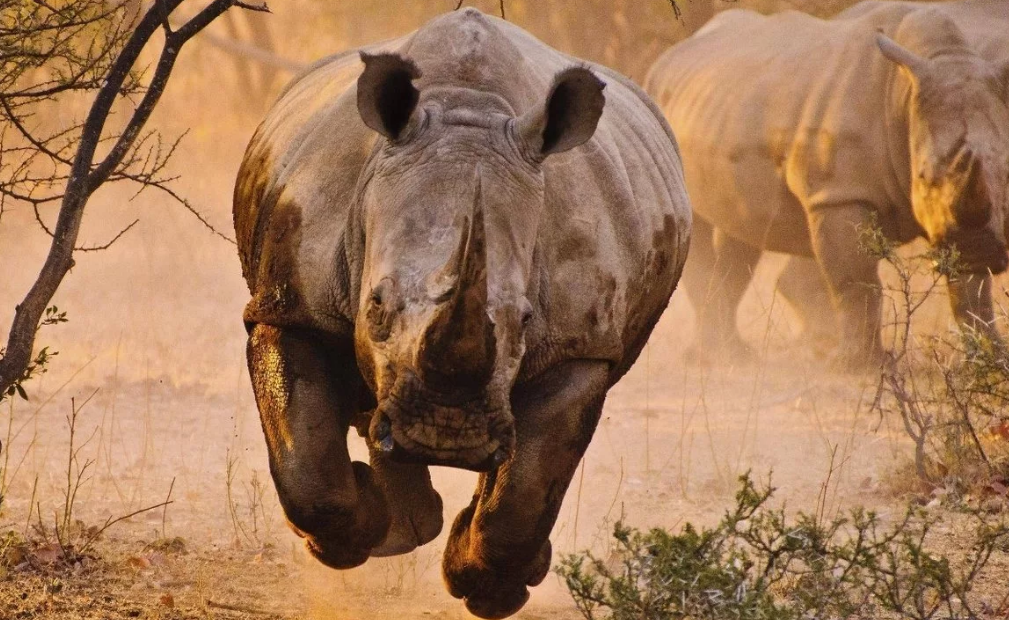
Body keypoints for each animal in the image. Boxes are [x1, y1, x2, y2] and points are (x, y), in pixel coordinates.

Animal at [233, 9, 690, 618]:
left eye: (525, 320)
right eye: (375, 306)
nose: (445, 433)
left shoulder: (580, 345)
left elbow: (526, 490)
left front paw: (488, 587)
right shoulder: (289, 304)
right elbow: (307, 468)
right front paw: (350, 539)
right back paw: (403, 528)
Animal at [645, 0, 1009, 366]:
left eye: (1007, 175)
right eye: (923, 176)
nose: (982, 250)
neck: (904, 97)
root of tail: (667, 56)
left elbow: (972, 293)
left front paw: (991, 360)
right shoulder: (838, 195)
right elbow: (855, 281)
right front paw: (861, 366)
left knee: (740, 231)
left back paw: (734, 354)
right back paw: (715, 358)